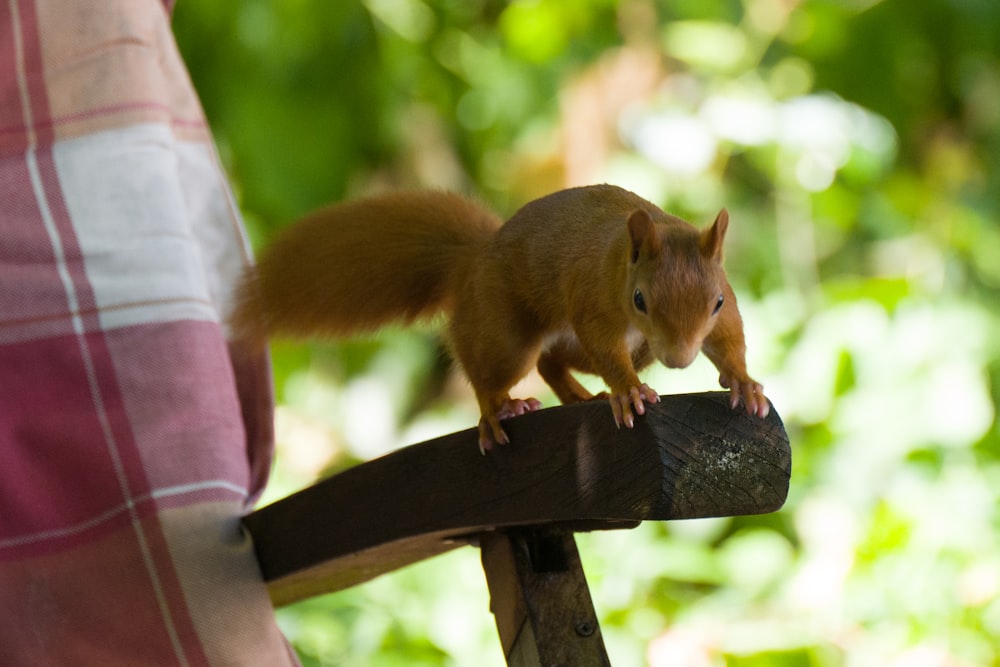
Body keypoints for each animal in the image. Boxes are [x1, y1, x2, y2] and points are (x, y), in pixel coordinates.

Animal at [230, 185, 768, 452]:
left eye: (716, 302)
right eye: (640, 299)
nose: (679, 360)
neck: (620, 257)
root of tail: (475, 259)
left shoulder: (721, 313)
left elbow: (731, 342)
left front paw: (744, 383)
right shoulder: (593, 299)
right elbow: (606, 347)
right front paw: (628, 392)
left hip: (596, 348)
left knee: (552, 362)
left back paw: (580, 397)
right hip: (506, 335)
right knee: (489, 369)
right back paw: (497, 410)